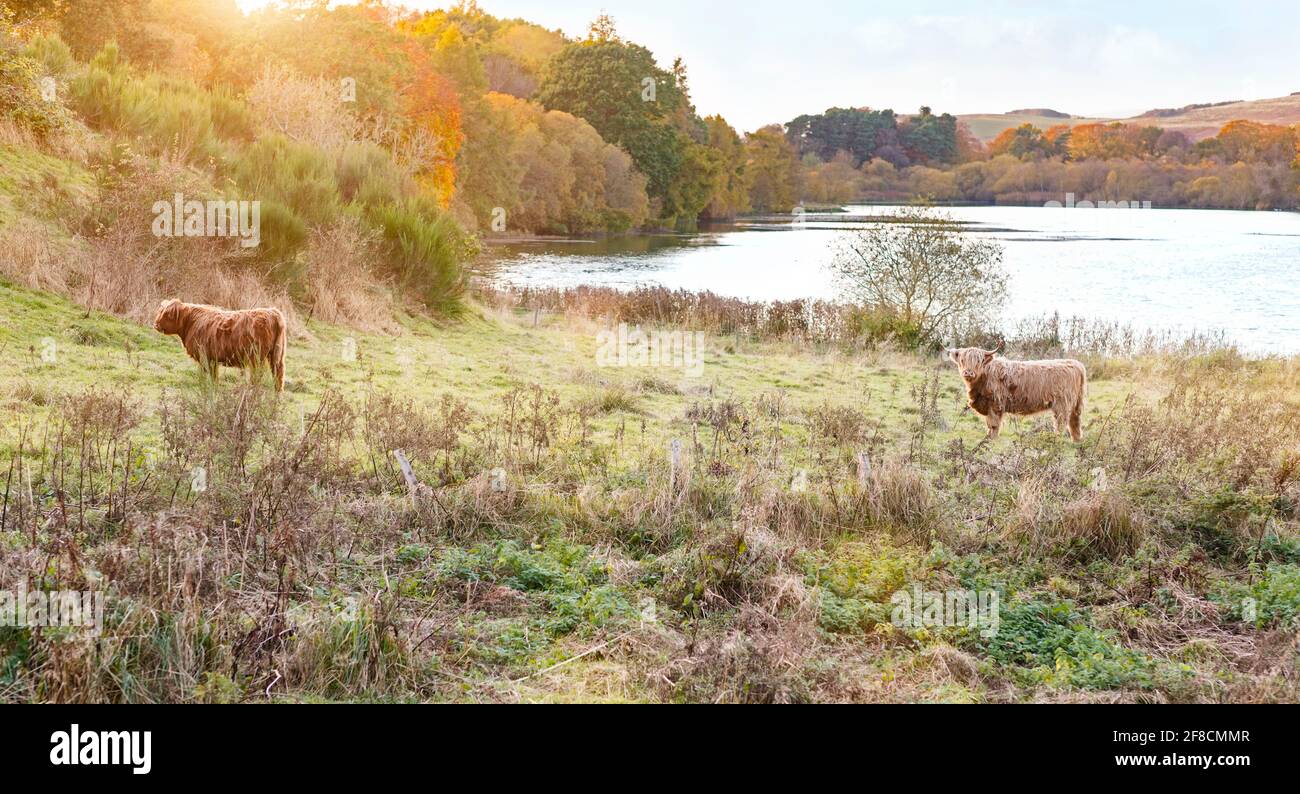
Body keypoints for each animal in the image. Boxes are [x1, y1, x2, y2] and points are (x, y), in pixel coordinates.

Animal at [153, 299, 287, 391]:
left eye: (167, 315)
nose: (156, 324)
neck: (191, 322)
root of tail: (274, 313)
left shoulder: (204, 357)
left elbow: (206, 377)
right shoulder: (213, 360)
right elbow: (214, 378)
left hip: (256, 358)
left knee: (257, 377)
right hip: (276, 356)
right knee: (278, 377)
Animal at [947, 347, 1086, 442]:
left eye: (979, 361)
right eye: (962, 360)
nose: (968, 373)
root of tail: (1077, 364)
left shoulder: (995, 404)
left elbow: (993, 424)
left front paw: (991, 440)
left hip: (1062, 404)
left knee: (1061, 422)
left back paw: (1056, 439)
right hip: (1076, 403)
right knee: (1075, 422)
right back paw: (1077, 441)